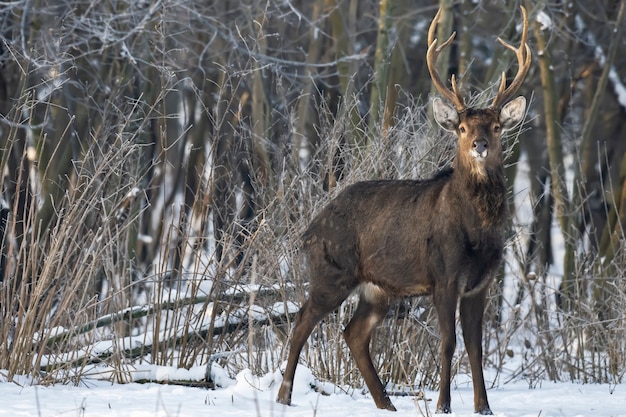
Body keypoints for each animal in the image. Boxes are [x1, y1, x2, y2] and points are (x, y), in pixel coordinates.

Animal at [276, 5, 528, 412]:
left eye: (495, 126)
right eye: (461, 128)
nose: (480, 145)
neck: (477, 232)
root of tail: (310, 229)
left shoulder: (481, 283)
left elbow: (476, 348)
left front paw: (484, 407)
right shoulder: (444, 274)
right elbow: (449, 342)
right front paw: (443, 405)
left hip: (378, 289)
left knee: (353, 333)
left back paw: (386, 403)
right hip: (331, 271)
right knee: (302, 321)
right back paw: (284, 396)